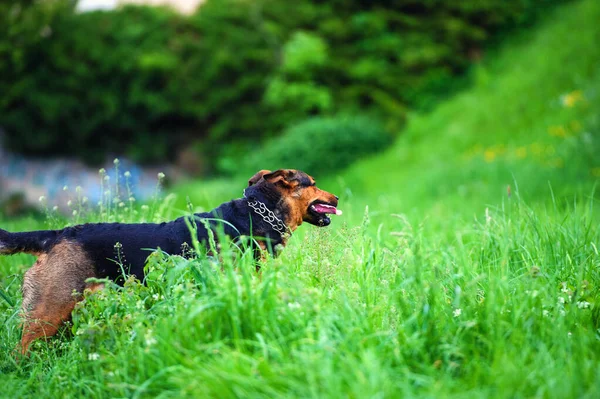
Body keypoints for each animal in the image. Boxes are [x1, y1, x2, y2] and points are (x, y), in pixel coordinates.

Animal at [0, 168, 342, 354]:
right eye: (313, 182)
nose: (337, 197)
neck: (255, 214)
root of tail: (55, 235)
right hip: (49, 309)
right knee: (20, 351)